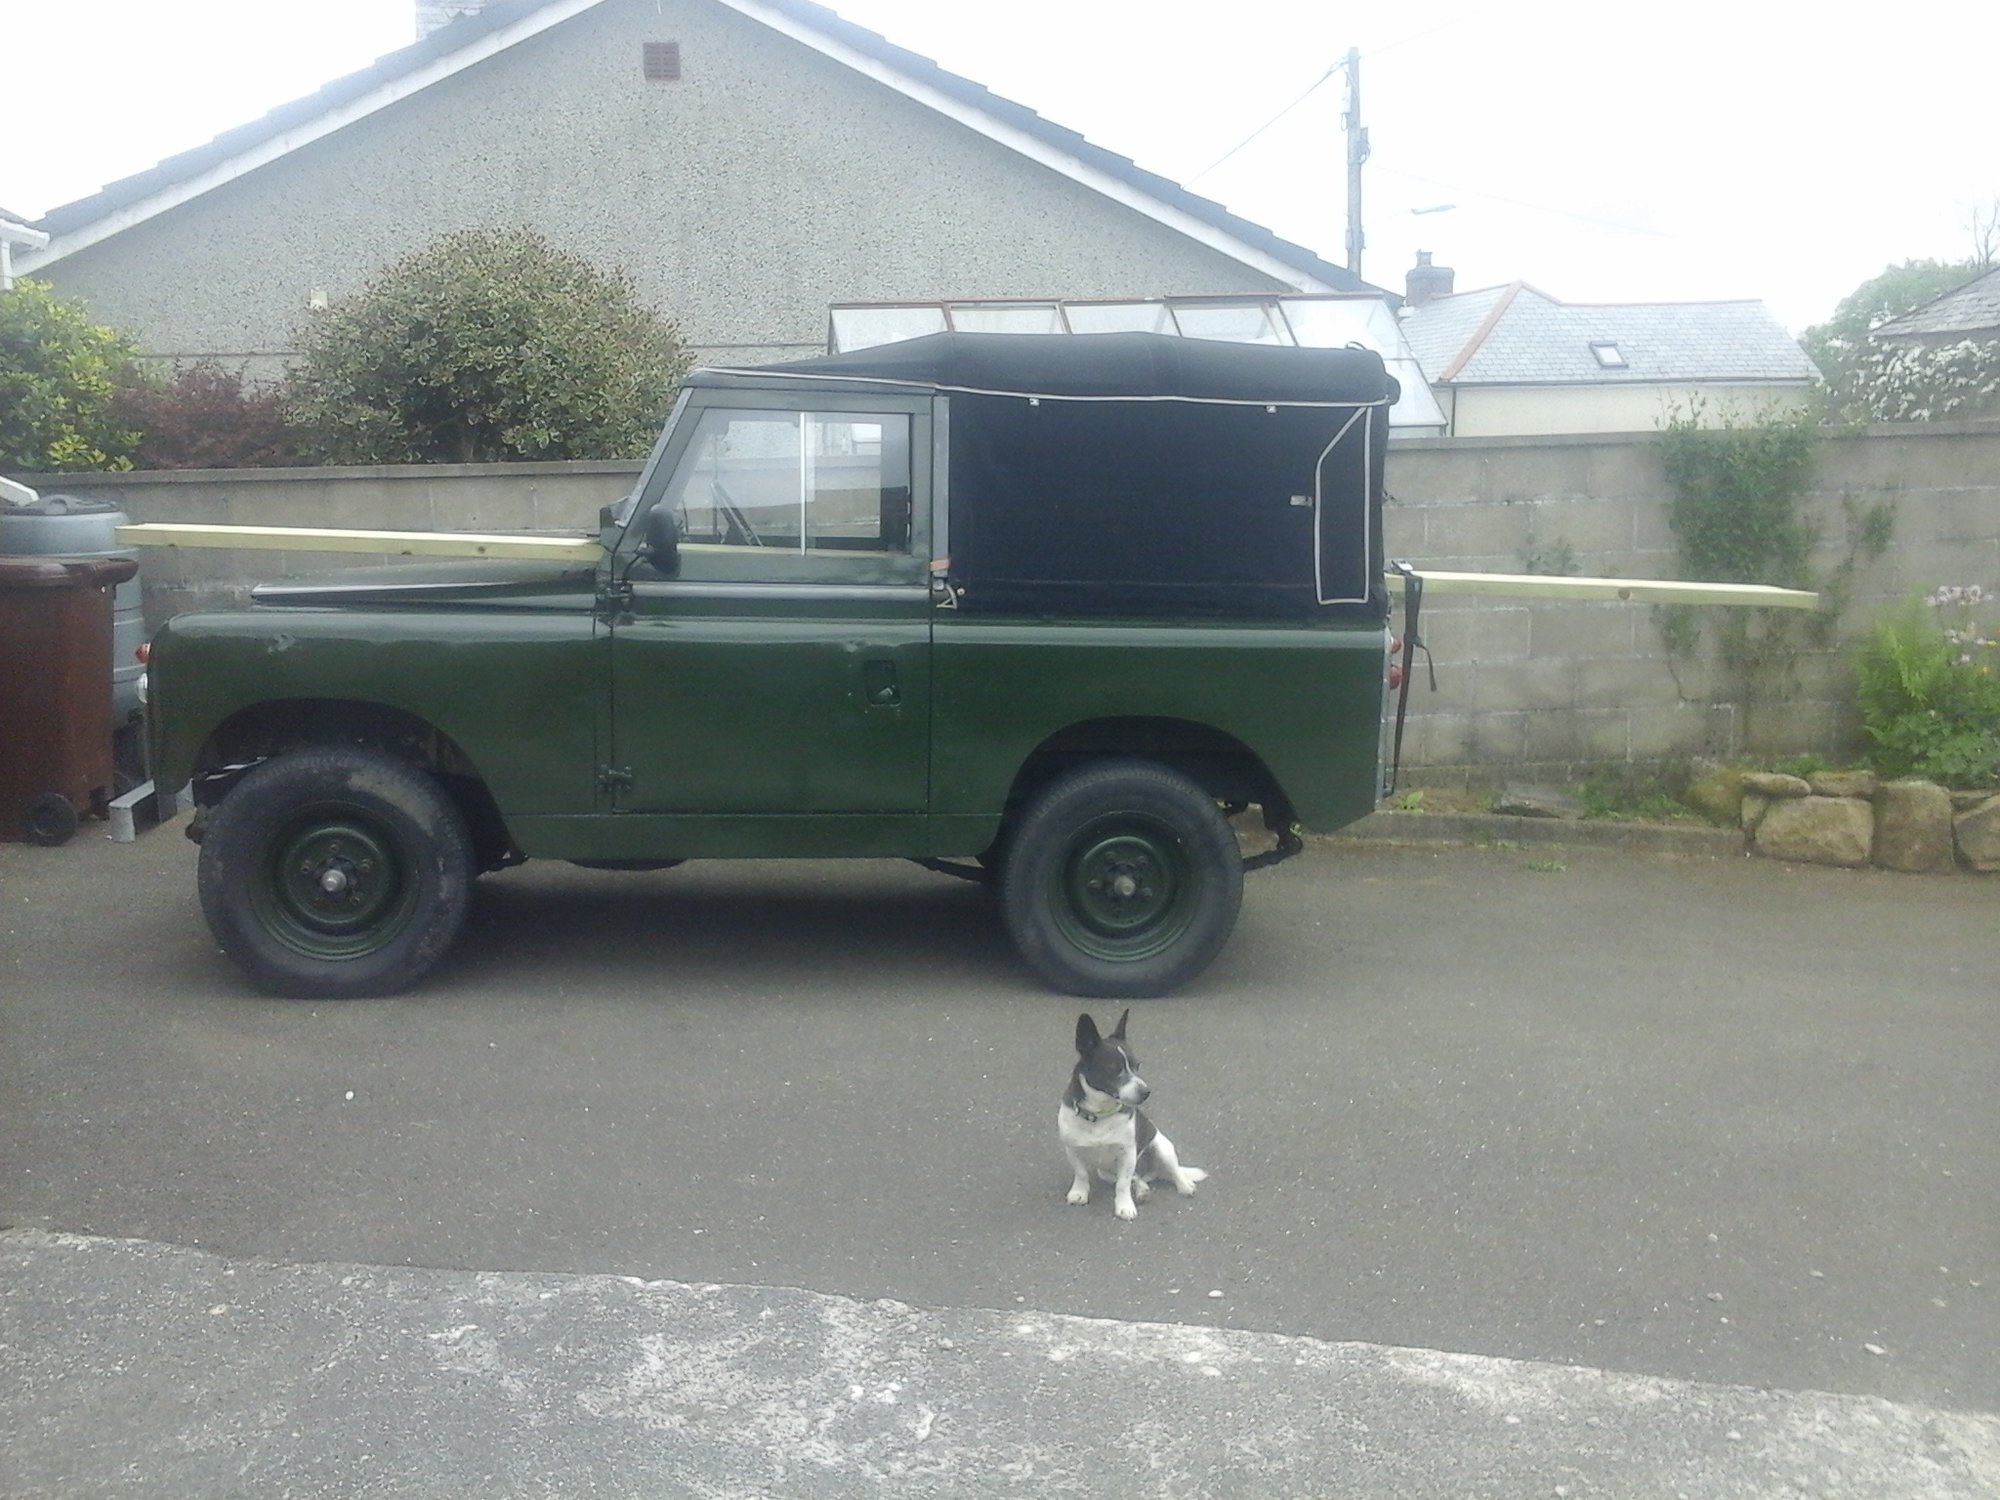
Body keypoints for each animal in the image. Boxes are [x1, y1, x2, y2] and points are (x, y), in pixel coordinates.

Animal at [1058, 1009, 1206, 1220]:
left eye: (1138, 1065)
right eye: (1114, 1069)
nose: (1146, 1092)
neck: (1100, 1114)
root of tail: (1150, 1172)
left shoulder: (1127, 1153)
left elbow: (1123, 1184)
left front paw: (1124, 1206)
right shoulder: (1073, 1150)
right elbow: (1081, 1174)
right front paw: (1079, 1193)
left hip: (1163, 1148)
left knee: (1173, 1171)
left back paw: (1184, 1185)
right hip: (1107, 1172)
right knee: (1136, 1177)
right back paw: (1143, 1189)